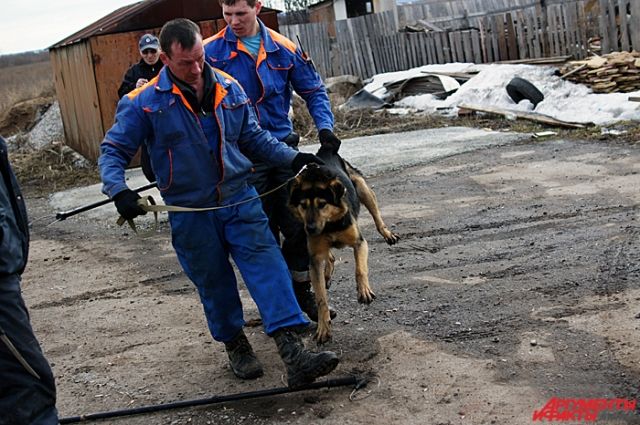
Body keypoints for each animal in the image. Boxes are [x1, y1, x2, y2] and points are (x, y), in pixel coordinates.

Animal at [290, 148, 400, 342]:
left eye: (322, 204)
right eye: (303, 205)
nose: (310, 229)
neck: (330, 225)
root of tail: (325, 151)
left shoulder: (359, 243)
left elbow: (360, 269)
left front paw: (364, 291)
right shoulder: (315, 258)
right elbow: (321, 297)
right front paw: (323, 326)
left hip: (363, 189)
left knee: (377, 217)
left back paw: (388, 234)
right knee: (331, 257)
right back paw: (327, 274)